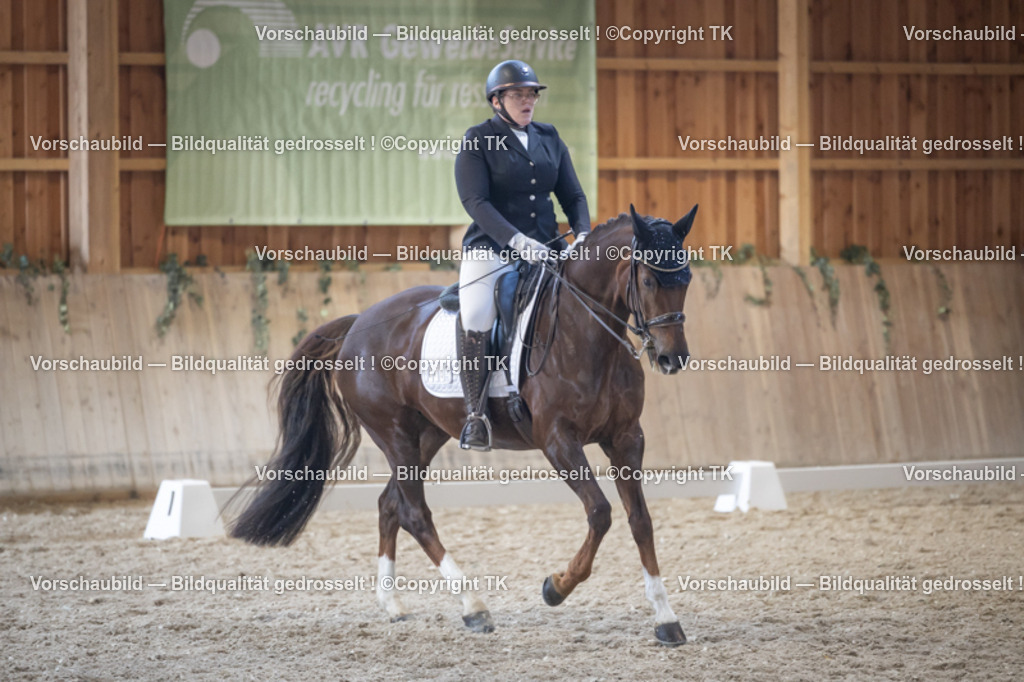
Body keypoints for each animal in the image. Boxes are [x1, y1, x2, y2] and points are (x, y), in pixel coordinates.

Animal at [228, 204, 698, 645]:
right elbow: (600, 513)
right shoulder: (558, 441)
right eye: (650, 281)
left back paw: (392, 604)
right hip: (394, 433)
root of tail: (358, 323)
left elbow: (641, 520)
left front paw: (665, 618)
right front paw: (556, 587)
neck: (585, 334)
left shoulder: (626, 438)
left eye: (687, 279)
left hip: (428, 434)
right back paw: (473, 606)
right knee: (414, 512)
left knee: (389, 504)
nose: (672, 359)